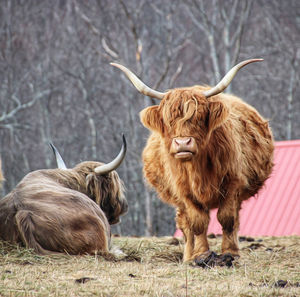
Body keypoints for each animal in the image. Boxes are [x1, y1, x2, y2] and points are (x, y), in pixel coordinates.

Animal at [111, 58, 274, 262]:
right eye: (168, 120)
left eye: (199, 117)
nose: (182, 143)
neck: (197, 169)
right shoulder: (185, 192)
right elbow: (197, 222)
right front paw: (202, 254)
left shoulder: (232, 184)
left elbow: (227, 218)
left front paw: (230, 253)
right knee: (185, 225)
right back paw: (188, 257)